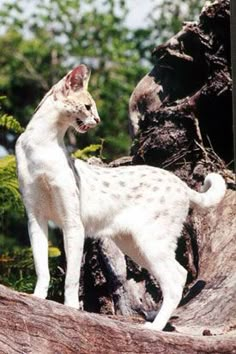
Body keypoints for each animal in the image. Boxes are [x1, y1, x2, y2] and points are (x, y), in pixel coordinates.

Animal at [15, 64, 226, 332]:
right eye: (88, 106)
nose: (97, 120)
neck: (42, 144)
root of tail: (180, 183)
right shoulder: (35, 218)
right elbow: (41, 266)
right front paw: (37, 299)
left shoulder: (72, 222)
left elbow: (71, 277)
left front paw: (70, 308)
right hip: (133, 243)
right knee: (177, 274)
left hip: (150, 241)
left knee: (176, 278)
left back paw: (154, 327)